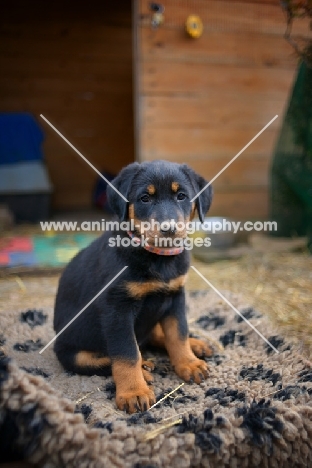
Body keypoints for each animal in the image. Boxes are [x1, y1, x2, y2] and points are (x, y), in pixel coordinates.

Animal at [54, 161, 214, 414]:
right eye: (144, 198)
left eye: (181, 196)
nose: (169, 229)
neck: (157, 258)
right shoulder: (117, 308)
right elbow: (127, 353)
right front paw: (134, 392)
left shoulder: (175, 296)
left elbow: (177, 334)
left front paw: (188, 363)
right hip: (71, 352)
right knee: (104, 359)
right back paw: (145, 372)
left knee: (153, 336)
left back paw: (195, 345)